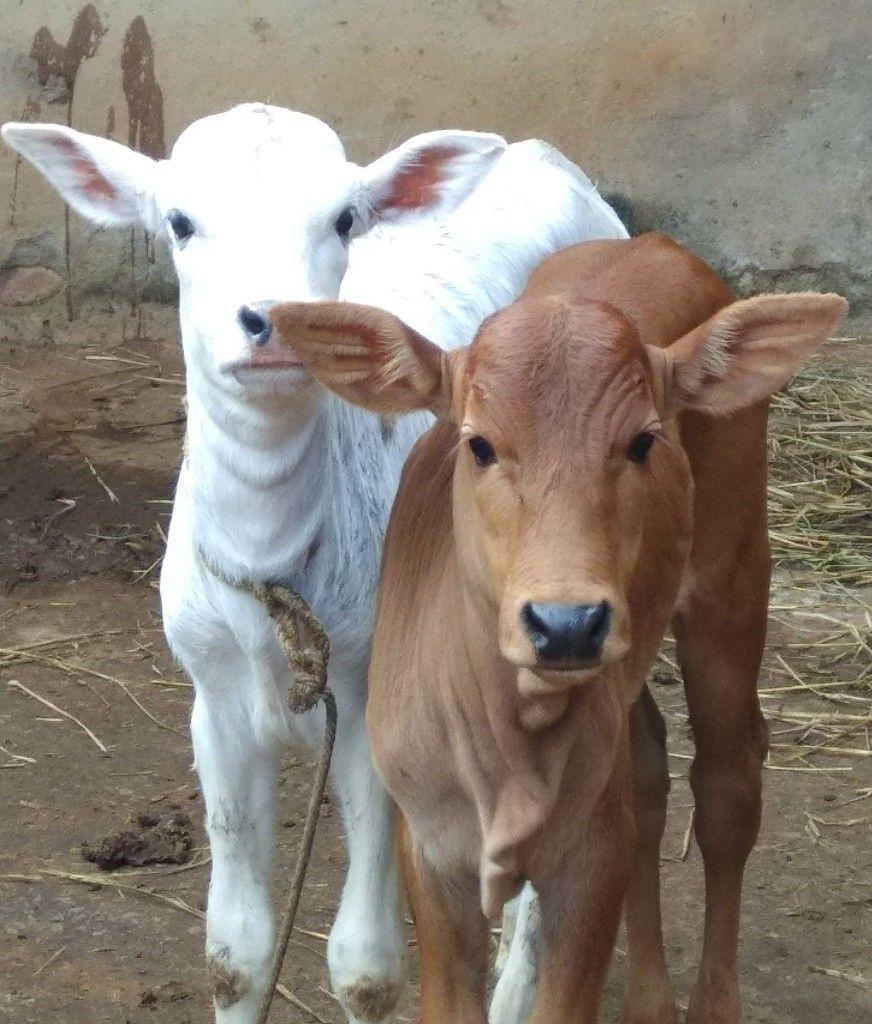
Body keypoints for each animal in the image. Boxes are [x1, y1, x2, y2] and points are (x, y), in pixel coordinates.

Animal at [1, 103, 627, 1023]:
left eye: (343, 219)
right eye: (179, 221)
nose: (268, 320)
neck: (275, 568)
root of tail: (545, 157)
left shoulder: (372, 705)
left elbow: (366, 966)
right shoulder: (213, 701)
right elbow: (235, 954)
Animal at [266, 233, 846, 1024]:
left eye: (644, 442)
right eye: (479, 445)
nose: (566, 624)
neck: (511, 745)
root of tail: (656, 242)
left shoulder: (590, 859)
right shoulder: (432, 850)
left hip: (733, 573)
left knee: (729, 780)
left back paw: (711, 1001)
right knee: (651, 766)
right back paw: (649, 1000)